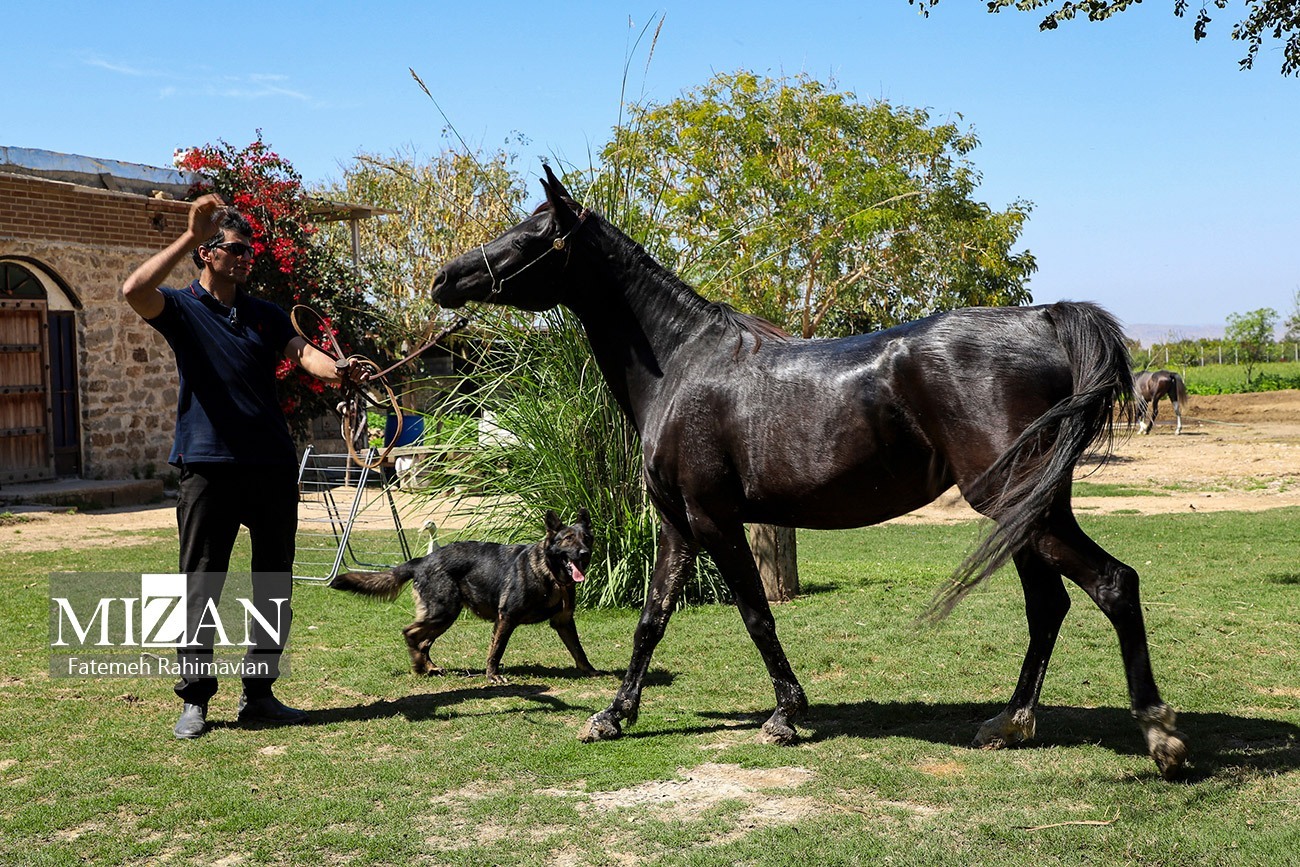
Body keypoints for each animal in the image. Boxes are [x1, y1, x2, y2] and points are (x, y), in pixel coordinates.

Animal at [332, 509, 600, 686]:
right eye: (567, 539)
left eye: (586, 538)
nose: (584, 553)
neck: (550, 574)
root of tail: (423, 560)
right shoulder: (506, 618)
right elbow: (496, 651)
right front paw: (492, 675)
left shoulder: (563, 622)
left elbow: (579, 650)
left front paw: (590, 670)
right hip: (443, 613)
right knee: (410, 633)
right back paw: (418, 667)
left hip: (444, 618)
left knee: (423, 642)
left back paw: (429, 667)